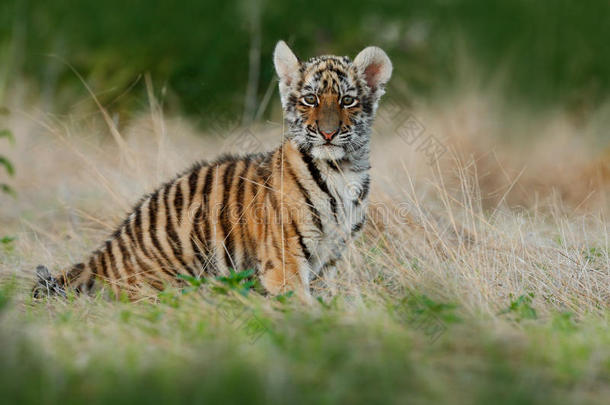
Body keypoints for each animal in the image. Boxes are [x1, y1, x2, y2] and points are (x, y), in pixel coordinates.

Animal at [33, 40, 392, 300]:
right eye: (310, 99)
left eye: (347, 101)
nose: (328, 133)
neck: (342, 169)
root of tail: (102, 254)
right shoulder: (284, 261)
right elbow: (303, 307)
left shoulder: (329, 257)